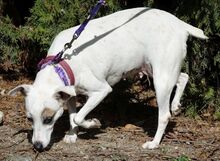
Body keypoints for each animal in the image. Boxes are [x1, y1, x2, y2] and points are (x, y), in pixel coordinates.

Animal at [9, 7, 208, 151]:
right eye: (29, 119)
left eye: (48, 119)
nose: (37, 146)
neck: (62, 62)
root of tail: (179, 24)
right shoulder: (70, 92)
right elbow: (72, 115)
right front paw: (72, 135)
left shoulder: (101, 91)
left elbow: (78, 117)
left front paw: (92, 124)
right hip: (158, 70)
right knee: (183, 77)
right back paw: (175, 104)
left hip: (161, 78)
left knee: (164, 115)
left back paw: (154, 142)